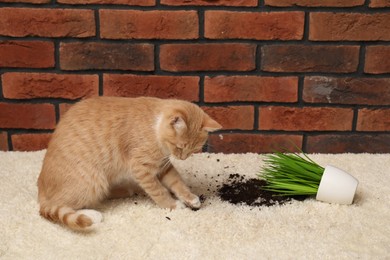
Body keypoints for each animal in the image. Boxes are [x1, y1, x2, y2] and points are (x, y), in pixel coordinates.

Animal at [37, 96, 221, 231]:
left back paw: (124, 190)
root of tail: (41, 188)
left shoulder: (163, 166)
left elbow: (177, 183)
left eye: (193, 150)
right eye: (180, 147)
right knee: (60, 204)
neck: (154, 125)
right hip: (93, 181)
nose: (182, 157)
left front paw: (189, 198)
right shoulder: (141, 168)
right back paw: (92, 215)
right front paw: (173, 205)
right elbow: (159, 191)